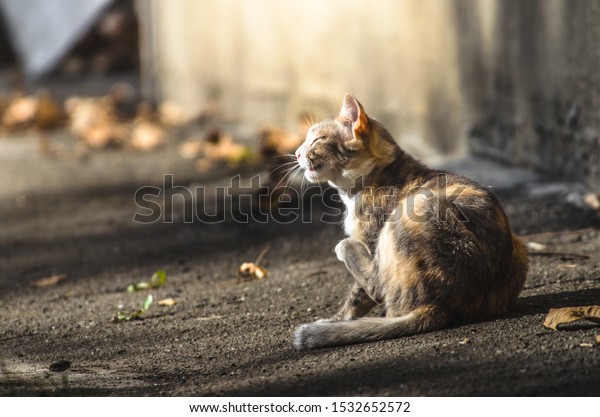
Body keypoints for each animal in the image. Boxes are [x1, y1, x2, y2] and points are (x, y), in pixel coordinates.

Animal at [292, 93, 528, 348]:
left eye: (317, 139)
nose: (296, 153)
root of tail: (443, 306)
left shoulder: (371, 238)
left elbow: (360, 295)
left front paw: (335, 320)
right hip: (519, 245)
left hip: (413, 206)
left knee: (376, 284)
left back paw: (346, 248)